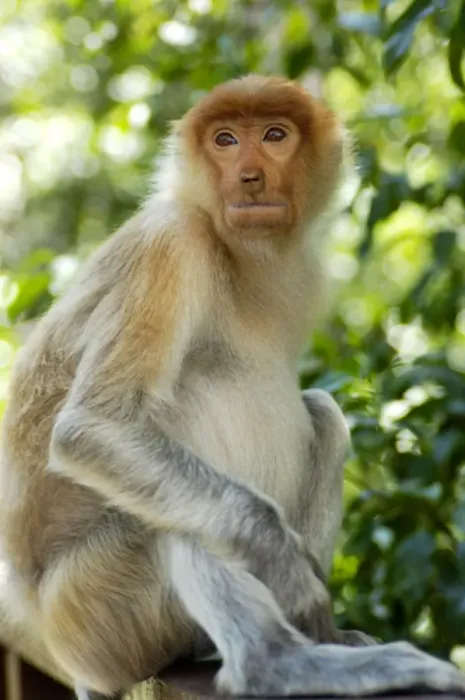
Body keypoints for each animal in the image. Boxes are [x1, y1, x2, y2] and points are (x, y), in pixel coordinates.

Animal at [1, 75, 465, 700]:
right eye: (224, 140)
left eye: (274, 135)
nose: (249, 177)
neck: (228, 244)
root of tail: (52, 634)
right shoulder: (169, 247)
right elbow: (92, 428)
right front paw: (285, 567)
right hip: (97, 612)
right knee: (183, 427)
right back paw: (276, 663)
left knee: (322, 414)